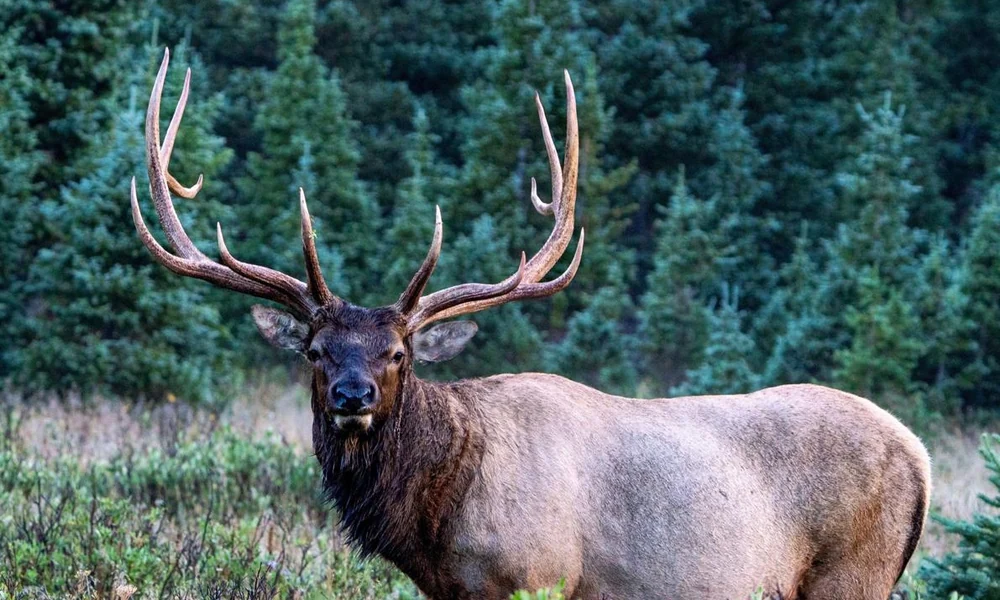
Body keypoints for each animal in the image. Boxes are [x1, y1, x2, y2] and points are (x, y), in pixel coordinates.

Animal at [130, 49, 931, 600]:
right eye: (318, 351)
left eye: (398, 353)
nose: (353, 397)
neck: (434, 519)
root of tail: (920, 457)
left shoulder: (536, 575)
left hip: (851, 574)